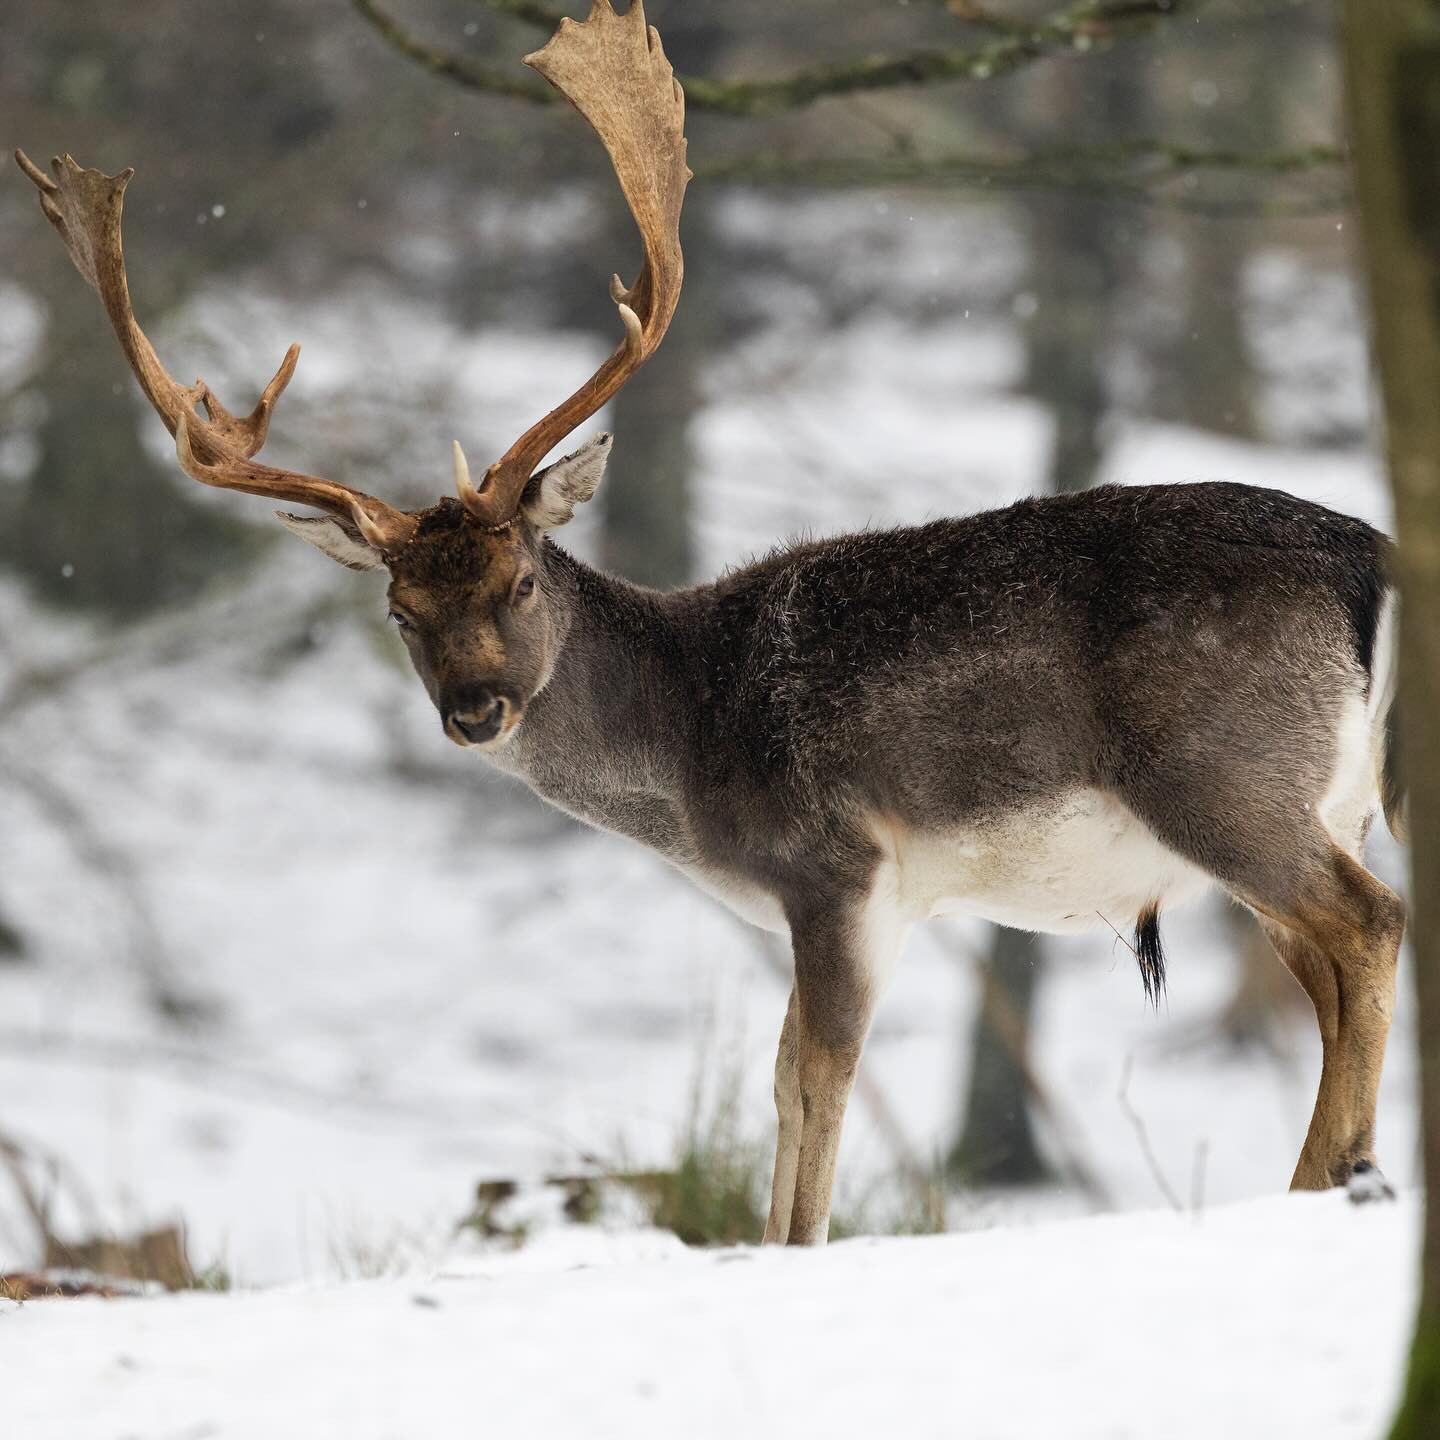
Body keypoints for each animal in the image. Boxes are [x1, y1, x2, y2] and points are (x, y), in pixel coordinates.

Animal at [17, 0, 1406, 1245]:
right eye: (401, 609)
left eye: (522, 580)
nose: (476, 710)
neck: (691, 767)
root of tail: (1373, 560)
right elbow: (782, 1082)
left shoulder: (839, 862)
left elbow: (817, 1080)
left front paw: (794, 1250)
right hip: (1310, 799)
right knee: (1338, 963)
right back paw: (1330, 1180)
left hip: (1221, 774)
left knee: (1373, 924)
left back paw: (1327, 1186)